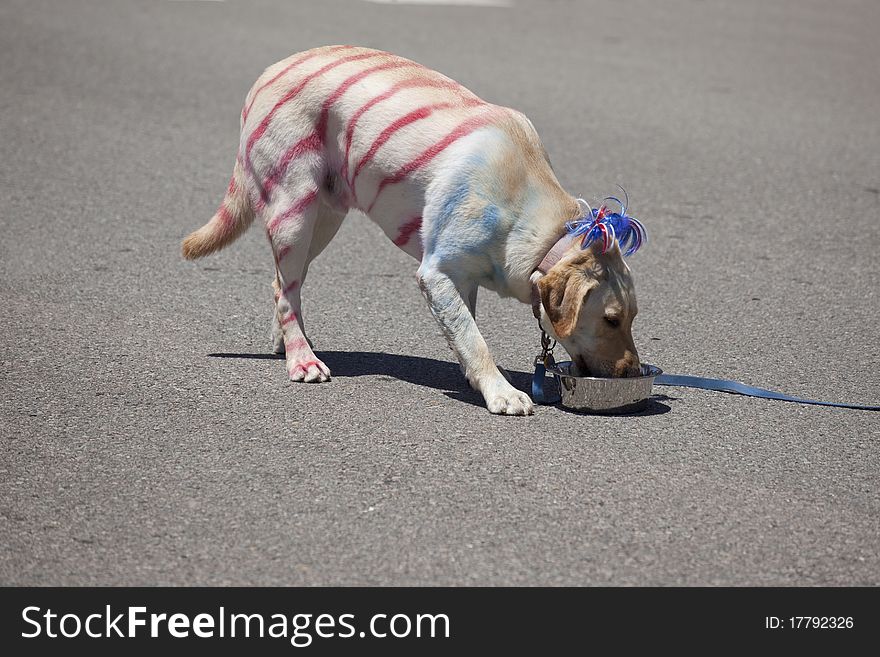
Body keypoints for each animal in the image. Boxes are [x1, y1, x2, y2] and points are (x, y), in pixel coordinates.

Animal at [182, 44, 644, 416]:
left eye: (634, 317)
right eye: (611, 319)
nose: (633, 371)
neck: (534, 221)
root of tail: (265, 75)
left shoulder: (461, 277)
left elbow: (464, 330)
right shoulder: (435, 274)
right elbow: (475, 340)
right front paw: (501, 392)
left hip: (322, 222)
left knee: (283, 285)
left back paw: (287, 343)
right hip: (294, 213)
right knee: (286, 289)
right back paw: (302, 358)